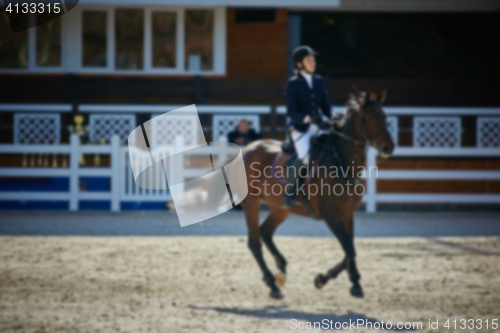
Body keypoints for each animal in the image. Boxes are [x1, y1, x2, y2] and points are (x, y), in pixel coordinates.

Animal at [238, 89, 394, 298]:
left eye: (385, 116)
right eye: (369, 117)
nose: (388, 147)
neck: (341, 162)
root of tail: (247, 148)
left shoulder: (347, 214)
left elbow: (350, 249)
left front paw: (349, 281)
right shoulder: (331, 215)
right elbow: (349, 250)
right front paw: (329, 280)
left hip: (280, 208)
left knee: (265, 232)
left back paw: (281, 269)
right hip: (251, 203)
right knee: (254, 242)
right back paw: (272, 284)